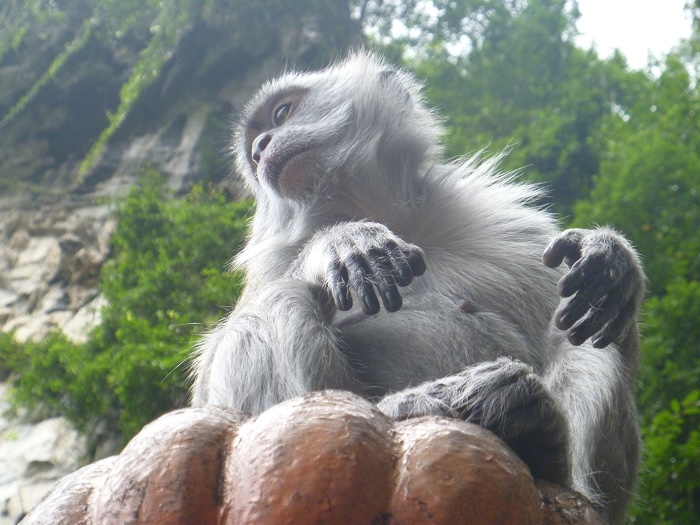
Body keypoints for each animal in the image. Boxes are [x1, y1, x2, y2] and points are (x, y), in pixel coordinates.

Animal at [190, 51, 644, 520]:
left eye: (282, 113)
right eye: (255, 144)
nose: (260, 148)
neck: (392, 218)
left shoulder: (512, 229)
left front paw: (610, 256)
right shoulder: (269, 264)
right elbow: (211, 399)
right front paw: (339, 242)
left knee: (593, 328)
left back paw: (540, 436)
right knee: (269, 311)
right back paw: (409, 409)